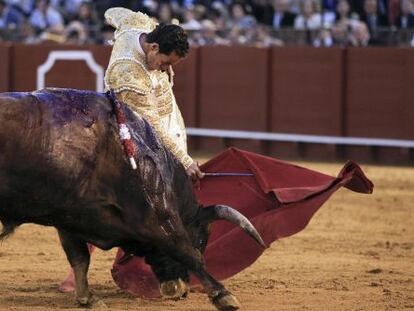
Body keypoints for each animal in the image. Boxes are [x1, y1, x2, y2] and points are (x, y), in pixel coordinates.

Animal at [0, 88, 266, 311]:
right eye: (202, 240)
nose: (180, 290)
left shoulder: (69, 220)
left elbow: (79, 258)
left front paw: (88, 298)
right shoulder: (159, 216)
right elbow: (186, 251)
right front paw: (224, 296)